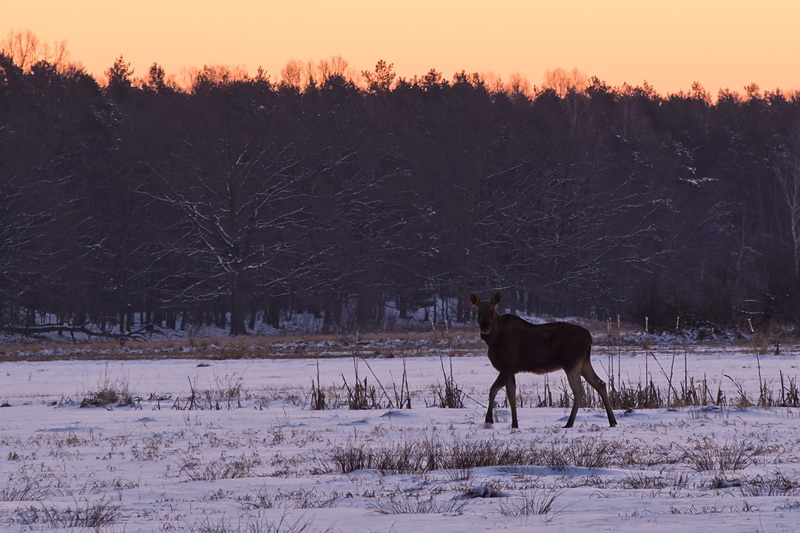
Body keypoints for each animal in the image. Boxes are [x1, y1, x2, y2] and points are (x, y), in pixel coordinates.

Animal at [469, 291, 617, 429]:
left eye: (492, 310)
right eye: (478, 311)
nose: (485, 327)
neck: (494, 340)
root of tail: (590, 338)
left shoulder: (508, 366)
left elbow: (493, 389)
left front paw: (489, 421)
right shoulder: (509, 370)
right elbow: (511, 396)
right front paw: (515, 424)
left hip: (572, 362)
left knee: (579, 390)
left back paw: (569, 423)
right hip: (584, 361)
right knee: (600, 383)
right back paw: (612, 421)